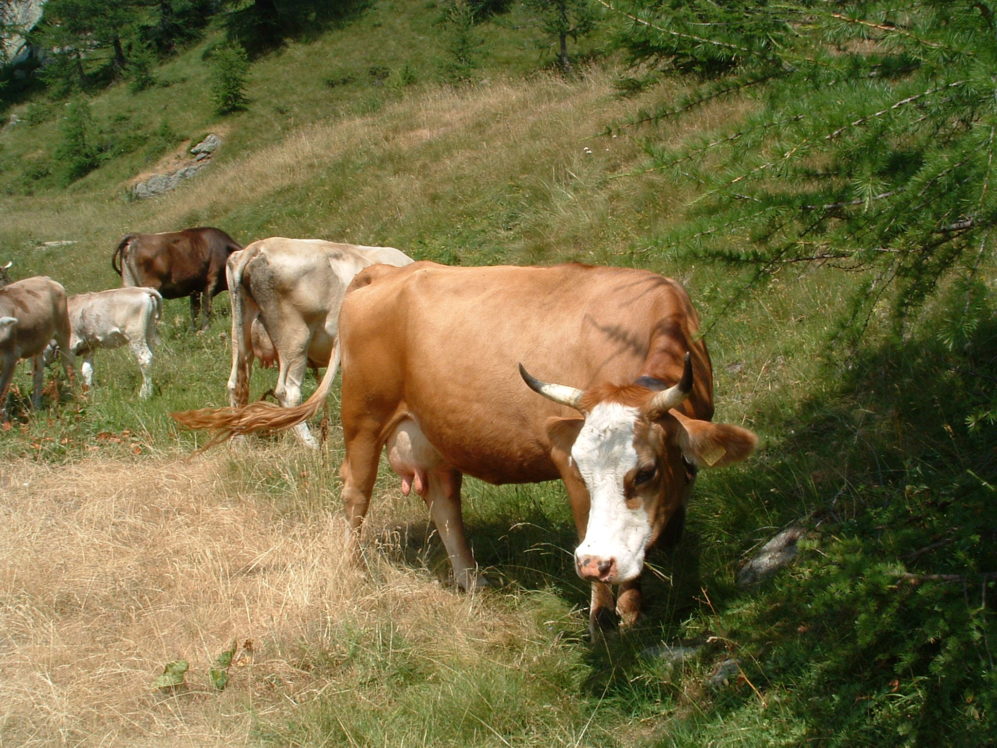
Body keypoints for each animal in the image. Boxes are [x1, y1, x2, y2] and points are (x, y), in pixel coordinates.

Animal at [0, 274, 74, 418]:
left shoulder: (10, 358)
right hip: (37, 344)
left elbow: (3, 391)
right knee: (38, 373)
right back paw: (36, 406)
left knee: (67, 363)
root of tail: (45, 278)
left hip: (63, 330)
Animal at [110, 226, 242, 328]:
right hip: (150, 288)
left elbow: (194, 310)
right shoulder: (211, 281)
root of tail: (135, 238)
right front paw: (205, 328)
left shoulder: (194, 289)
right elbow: (206, 306)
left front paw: (194, 330)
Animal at [175, 262, 760, 632]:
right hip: (362, 417)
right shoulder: (566, 463)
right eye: (583, 469)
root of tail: (386, 272)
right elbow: (590, 529)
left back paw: (471, 582)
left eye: (646, 472)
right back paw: (355, 569)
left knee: (444, 504)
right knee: (355, 494)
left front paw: (638, 603)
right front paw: (607, 618)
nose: (594, 565)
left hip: (432, 435)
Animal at [226, 240, 412, 448]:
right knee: (287, 392)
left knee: (236, 384)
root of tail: (258, 247)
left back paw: (238, 443)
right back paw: (310, 443)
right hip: (295, 339)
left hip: (240, 338)